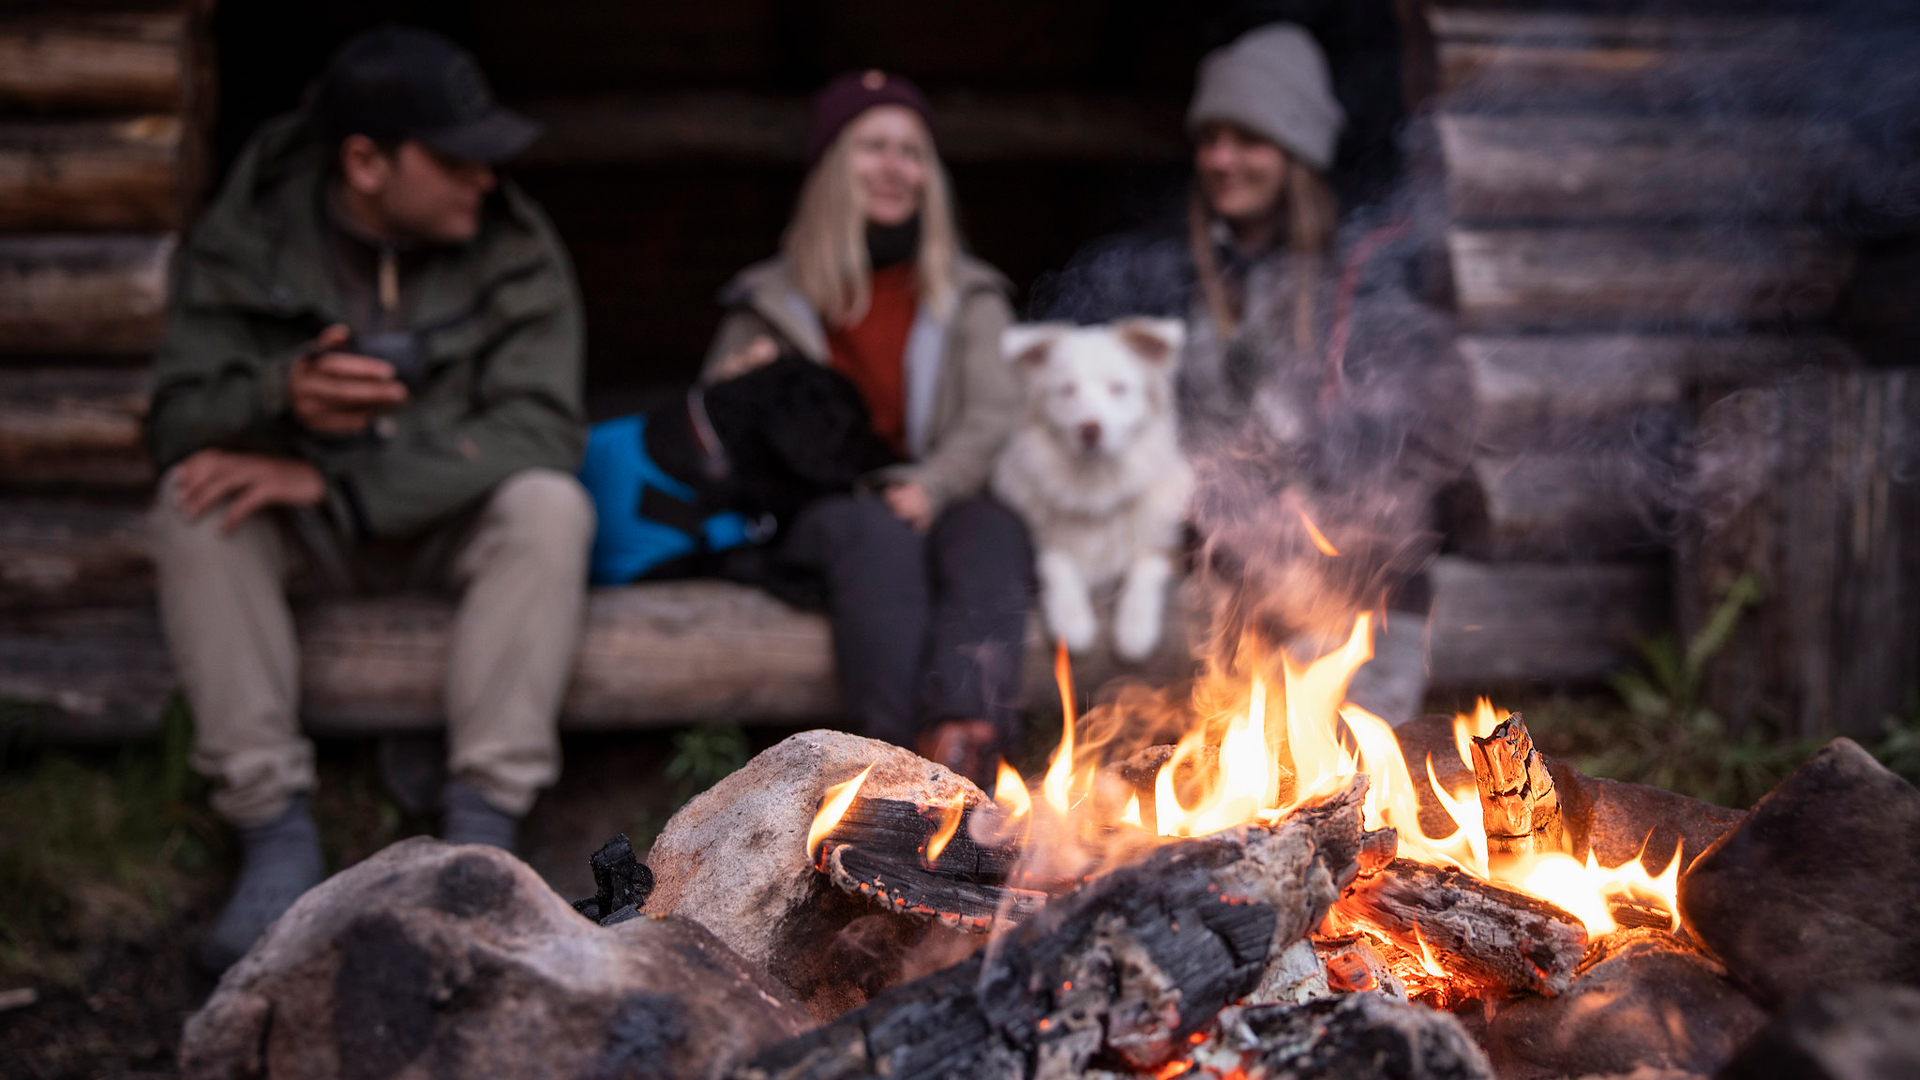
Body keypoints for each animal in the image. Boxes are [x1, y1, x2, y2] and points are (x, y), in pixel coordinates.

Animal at [998, 315, 1190, 661]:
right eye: (1067, 390)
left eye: (1118, 388)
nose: (1089, 430)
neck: (1097, 486)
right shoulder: (1040, 542)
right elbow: (1056, 562)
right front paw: (1072, 621)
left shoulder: (1167, 545)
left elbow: (1145, 567)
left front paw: (1135, 628)